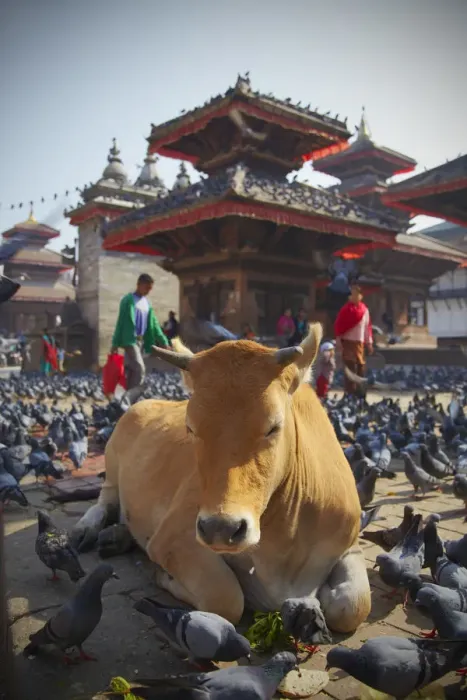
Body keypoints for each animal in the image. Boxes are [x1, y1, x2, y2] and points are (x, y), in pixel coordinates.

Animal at [72, 324, 371, 639]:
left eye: (273, 426)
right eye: (190, 427)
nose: (221, 529)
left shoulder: (350, 543)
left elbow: (352, 606)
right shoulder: (172, 537)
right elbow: (225, 599)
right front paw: (160, 574)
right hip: (112, 460)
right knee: (105, 500)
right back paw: (87, 530)